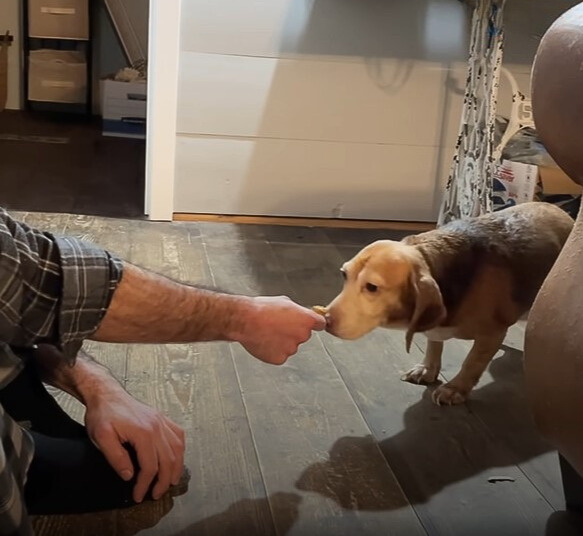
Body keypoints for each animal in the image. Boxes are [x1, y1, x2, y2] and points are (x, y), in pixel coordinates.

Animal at [324, 203, 576, 404]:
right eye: (344, 274)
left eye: (372, 287)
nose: (325, 320)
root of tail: (562, 211)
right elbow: (434, 344)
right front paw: (428, 369)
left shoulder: (492, 334)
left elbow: (472, 362)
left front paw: (455, 389)